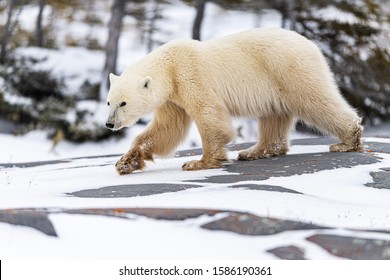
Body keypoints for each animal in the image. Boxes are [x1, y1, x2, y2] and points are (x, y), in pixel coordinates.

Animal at [106, 26, 362, 175]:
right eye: (109, 102)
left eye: (123, 103)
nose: (109, 124)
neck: (169, 66)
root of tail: (312, 45)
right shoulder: (172, 98)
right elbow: (167, 129)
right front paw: (126, 162)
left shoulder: (190, 76)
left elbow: (209, 114)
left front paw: (199, 162)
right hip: (275, 84)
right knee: (274, 117)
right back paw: (254, 151)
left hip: (288, 68)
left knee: (314, 100)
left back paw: (348, 140)